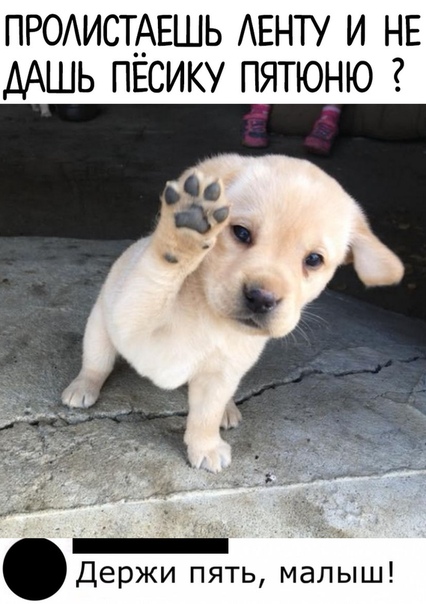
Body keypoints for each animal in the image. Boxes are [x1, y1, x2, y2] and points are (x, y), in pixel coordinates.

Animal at [62, 153, 404, 472]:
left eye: (314, 260)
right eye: (240, 233)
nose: (262, 299)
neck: (210, 314)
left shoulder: (222, 373)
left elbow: (206, 413)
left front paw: (206, 445)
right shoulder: (132, 319)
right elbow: (156, 276)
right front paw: (185, 230)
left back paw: (228, 409)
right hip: (99, 327)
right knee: (97, 363)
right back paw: (83, 386)